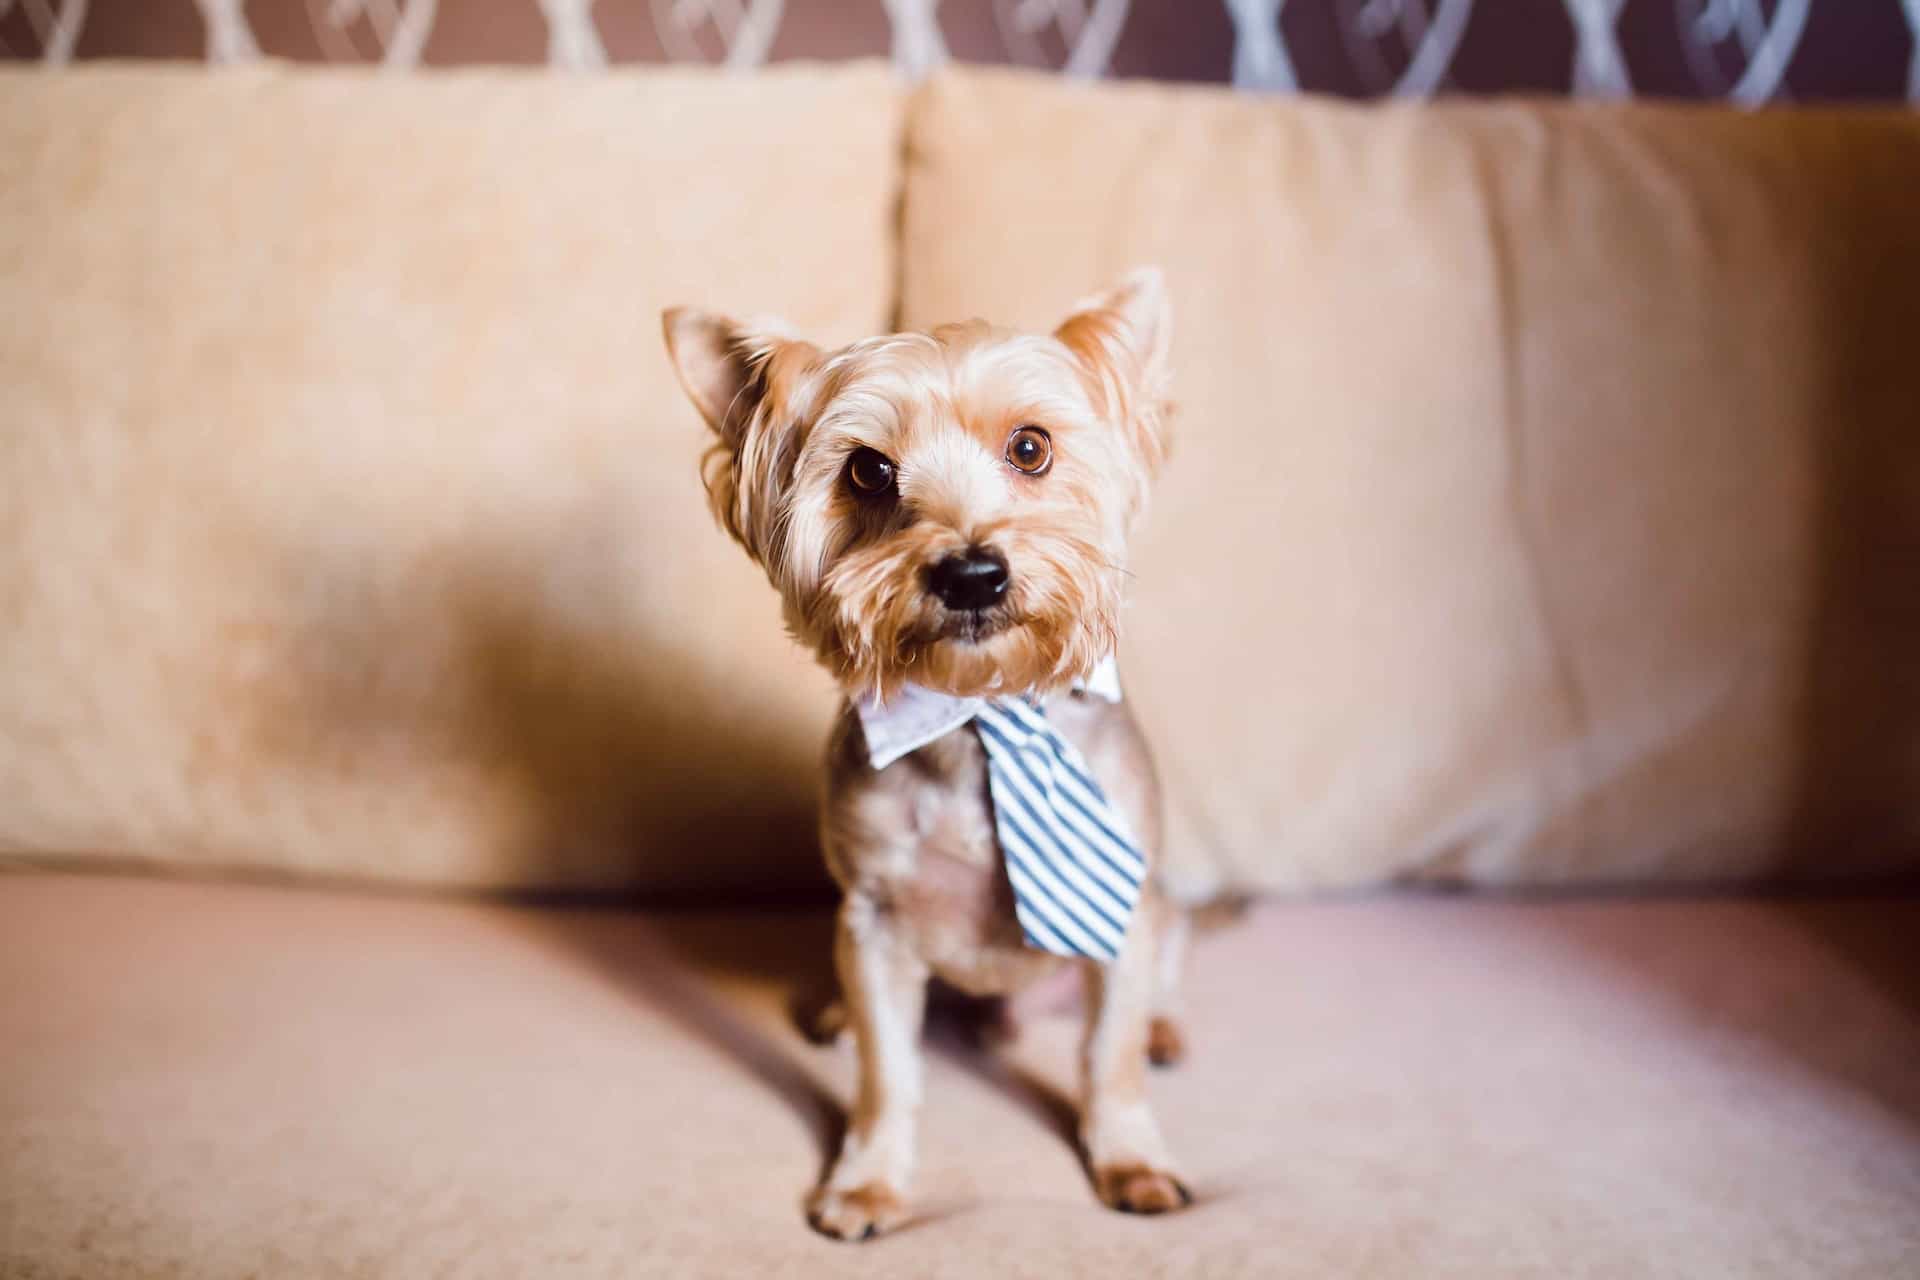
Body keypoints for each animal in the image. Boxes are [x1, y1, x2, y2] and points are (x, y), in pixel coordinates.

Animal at [668, 270, 1190, 1243]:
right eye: (868, 469)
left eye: (1031, 447)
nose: (972, 573)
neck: (978, 713)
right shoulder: (875, 921)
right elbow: (889, 1074)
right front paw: (868, 1182)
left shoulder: (1122, 910)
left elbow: (1110, 1057)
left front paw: (1132, 1159)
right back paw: (835, 1015)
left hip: (1163, 911)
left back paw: (1166, 1029)